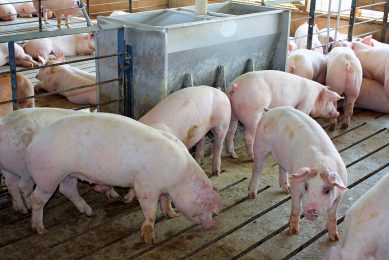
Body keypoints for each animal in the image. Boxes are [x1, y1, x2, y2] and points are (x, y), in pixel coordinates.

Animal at [25, 112, 221, 244]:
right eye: (208, 207)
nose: (212, 223)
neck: (178, 176)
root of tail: (34, 141)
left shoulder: (163, 189)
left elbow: (165, 201)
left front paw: (172, 214)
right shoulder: (146, 186)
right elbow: (150, 210)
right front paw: (149, 238)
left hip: (69, 174)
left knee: (68, 190)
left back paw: (89, 211)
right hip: (49, 176)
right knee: (37, 198)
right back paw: (40, 229)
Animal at [249, 106, 346, 241]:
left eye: (327, 191)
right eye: (306, 186)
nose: (310, 210)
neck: (321, 165)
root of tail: (270, 110)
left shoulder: (339, 196)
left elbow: (333, 215)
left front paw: (335, 238)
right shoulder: (296, 186)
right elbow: (296, 207)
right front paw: (293, 231)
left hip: (282, 155)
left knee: (282, 167)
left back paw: (286, 190)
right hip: (259, 144)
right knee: (257, 169)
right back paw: (252, 195)